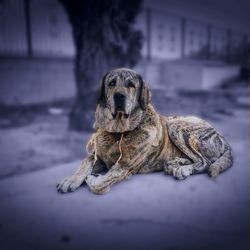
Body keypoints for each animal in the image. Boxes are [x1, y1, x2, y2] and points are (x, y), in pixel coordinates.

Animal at [56, 67, 232, 194]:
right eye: (111, 83)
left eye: (131, 85)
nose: (119, 96)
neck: (118, 132)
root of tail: (221, 135)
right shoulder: (97, 156)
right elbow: (84, 164)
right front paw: (70, 180)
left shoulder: (124, 165)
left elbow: (101, 183)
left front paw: (93, 179)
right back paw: (175, 164)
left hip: (176, 125)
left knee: (205, 162)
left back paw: (183, 169)